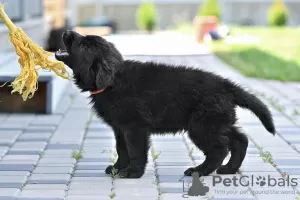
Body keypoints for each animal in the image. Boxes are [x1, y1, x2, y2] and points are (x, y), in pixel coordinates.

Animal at [55, 30, 276, 178]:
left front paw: (133, 172)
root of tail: (226, 85)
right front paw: (118, 168)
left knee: (219, 149)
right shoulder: (120, 128)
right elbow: (122, 149)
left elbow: (135, 151)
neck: (113, 81)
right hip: (217, 121)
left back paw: (200, 170)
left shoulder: (135, 127)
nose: (66, 31)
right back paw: (229, 169)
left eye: (84, 46)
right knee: (240, 139)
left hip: (202, 126)